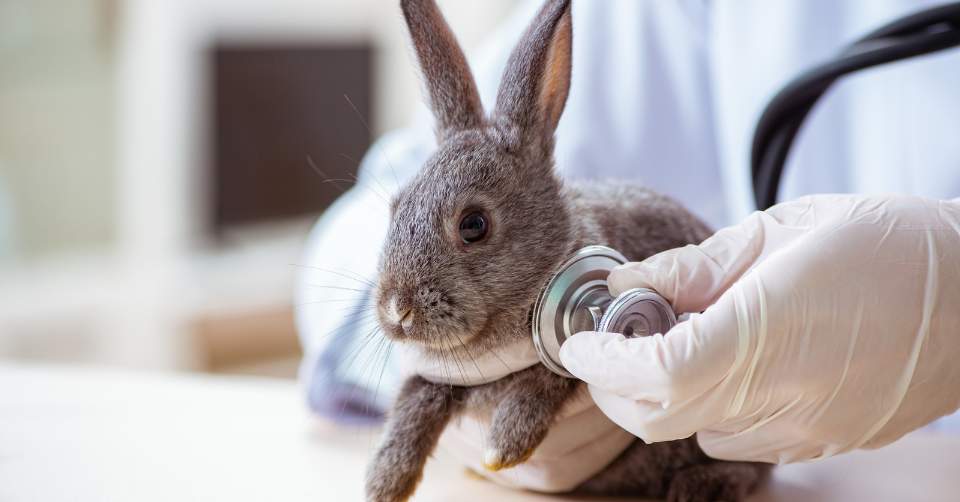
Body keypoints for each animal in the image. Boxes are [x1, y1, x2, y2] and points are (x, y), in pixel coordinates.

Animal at [364, 0, 768, 502]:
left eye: (474, 225)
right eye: (394, 208)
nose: (396, 310)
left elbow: (551, 377)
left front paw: (503, 446)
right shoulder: (442, 377)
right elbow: (415, 399)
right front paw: (384, 481)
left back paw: (700, 485)